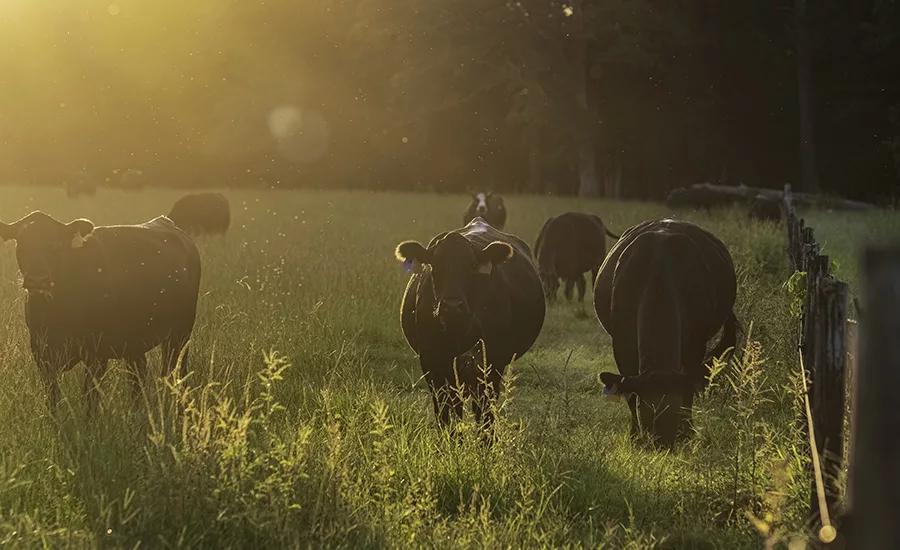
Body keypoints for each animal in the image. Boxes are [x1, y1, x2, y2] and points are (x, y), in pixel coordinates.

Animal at [0, 212, 202, 415]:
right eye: (21, 243)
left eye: (56, 243)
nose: (37, 279)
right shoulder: (42, 353)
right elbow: (52, 399)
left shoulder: (96, 355)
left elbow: (90, 399)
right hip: (135, 342)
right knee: (138, 375)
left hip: (180, 334)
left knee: (175, 372)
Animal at [394, 217, 545, 433]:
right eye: (435, 266)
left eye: (472, 266)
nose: (452, 305)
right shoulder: (431, 361)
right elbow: (444, 410)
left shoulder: (492, 360)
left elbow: (486, 412)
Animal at [593, 218, 738, 448]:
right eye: (646, 409)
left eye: (674, 408)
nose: (663, 442)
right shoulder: (622, 344)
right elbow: (630, 392)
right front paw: (636, 436)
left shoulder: (696, 345)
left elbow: (688, 390)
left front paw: (686, 432)